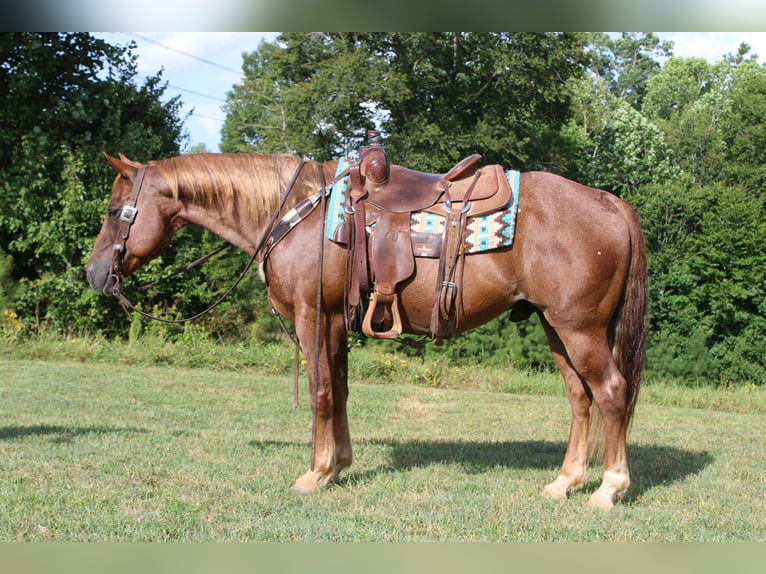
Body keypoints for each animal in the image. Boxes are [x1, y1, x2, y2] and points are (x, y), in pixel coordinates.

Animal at [86, 151, 647, 510]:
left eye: (115, 211)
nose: (93, 273)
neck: (299, 214)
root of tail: (609, 201)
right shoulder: (336, 320)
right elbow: (340, 390)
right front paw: (338, 466)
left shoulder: (312, 316)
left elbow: (319, 391)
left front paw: (314, 474)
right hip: (558, 329)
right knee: (580, 398)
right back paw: (565, 482)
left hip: (580, 329)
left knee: (611, 393)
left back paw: (609, 489)